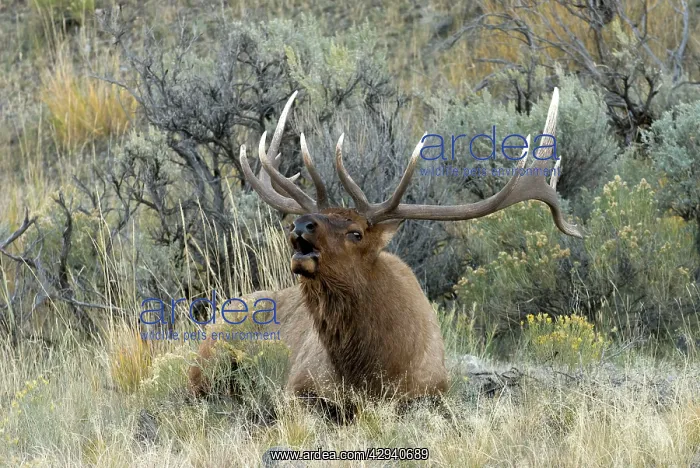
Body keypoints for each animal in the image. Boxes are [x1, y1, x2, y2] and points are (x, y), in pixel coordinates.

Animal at [187, 88, 582, 404]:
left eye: (356, 232)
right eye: (305, 220)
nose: (300, 225)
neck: (370, 367)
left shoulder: (431, 393)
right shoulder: (297, 387)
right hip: (204, 365)